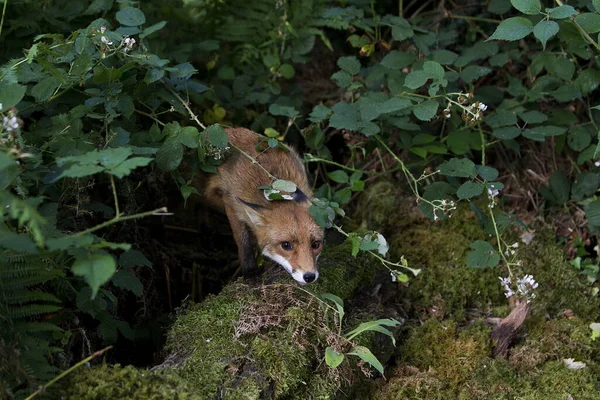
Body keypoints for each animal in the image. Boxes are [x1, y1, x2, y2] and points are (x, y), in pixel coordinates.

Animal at [203, 128, 324, 284]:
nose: (309, 276)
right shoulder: (231, 204)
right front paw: (250, 270)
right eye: (286, 245)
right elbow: (243, 242)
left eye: (315, 244)